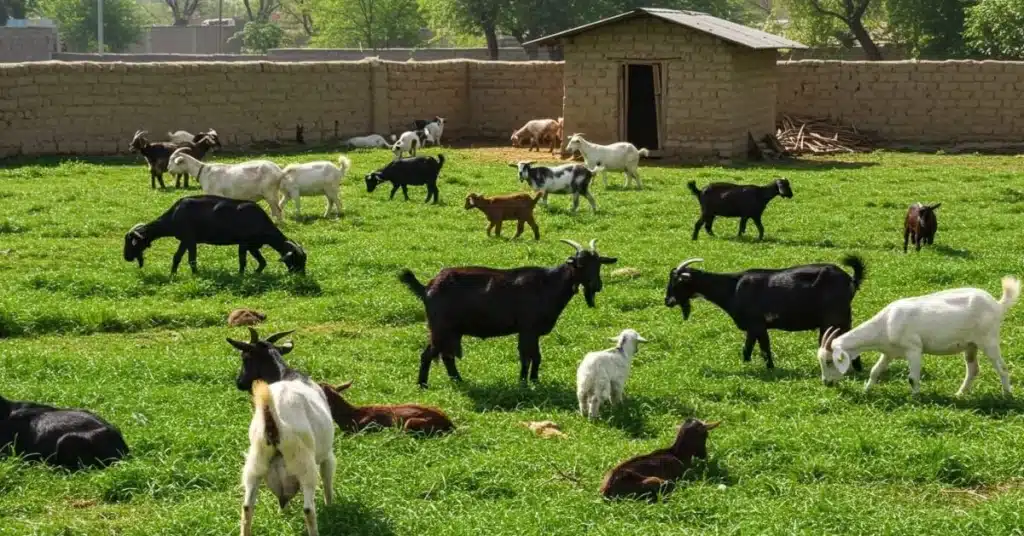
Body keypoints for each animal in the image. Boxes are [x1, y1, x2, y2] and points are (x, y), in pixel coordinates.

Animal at [123, 195, 306, 275]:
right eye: (296, 260)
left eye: (131, 243)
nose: (126, 257)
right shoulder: (188, 240)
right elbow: (185, 258)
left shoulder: (251, 244)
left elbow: (259, 262)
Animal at [241, 379, 334, 536]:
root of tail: (274, 423)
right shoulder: (327, 456)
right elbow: (327, 480)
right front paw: (331, 507)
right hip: (305, 466)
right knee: (308, 509)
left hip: (255, 464)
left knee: (247, 507)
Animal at [399, 238, 617, 387]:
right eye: (580, 265)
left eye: (598, 264)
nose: (596, 286)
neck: (548, 284)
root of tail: (426, 288)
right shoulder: (528, 329)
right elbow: (527, 356)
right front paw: (524, 382)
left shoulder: (531, 332)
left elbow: (535, 356)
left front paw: (533, 381)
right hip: (441, 328)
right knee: (429, 354)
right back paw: (423, 385)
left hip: (451, 331)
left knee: (446, 356)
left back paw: (457, 381)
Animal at [664, 256, 866, 371]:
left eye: (676, 282)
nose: (667, 301)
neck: (733, 288)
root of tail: (850, 279)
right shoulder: (753, 328)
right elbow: (748, 349)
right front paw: (747, 365)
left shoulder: (757, 324)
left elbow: (764, 349)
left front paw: (770, 369)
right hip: (844, 319)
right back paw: (856, 369)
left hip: (832, 320)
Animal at [818, 276, 1020, 396]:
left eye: (829, 361)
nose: (826, 383)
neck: (886, 322)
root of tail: (998, 305)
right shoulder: (889, 352)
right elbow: (875, 371)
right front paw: (866, 390)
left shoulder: (913, 348)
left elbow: (912, 377)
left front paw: (916, 399)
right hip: (971, 345)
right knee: (973, 369)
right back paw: (959, 394)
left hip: (988, 340)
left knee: (1002, 367)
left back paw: (1007, 395)